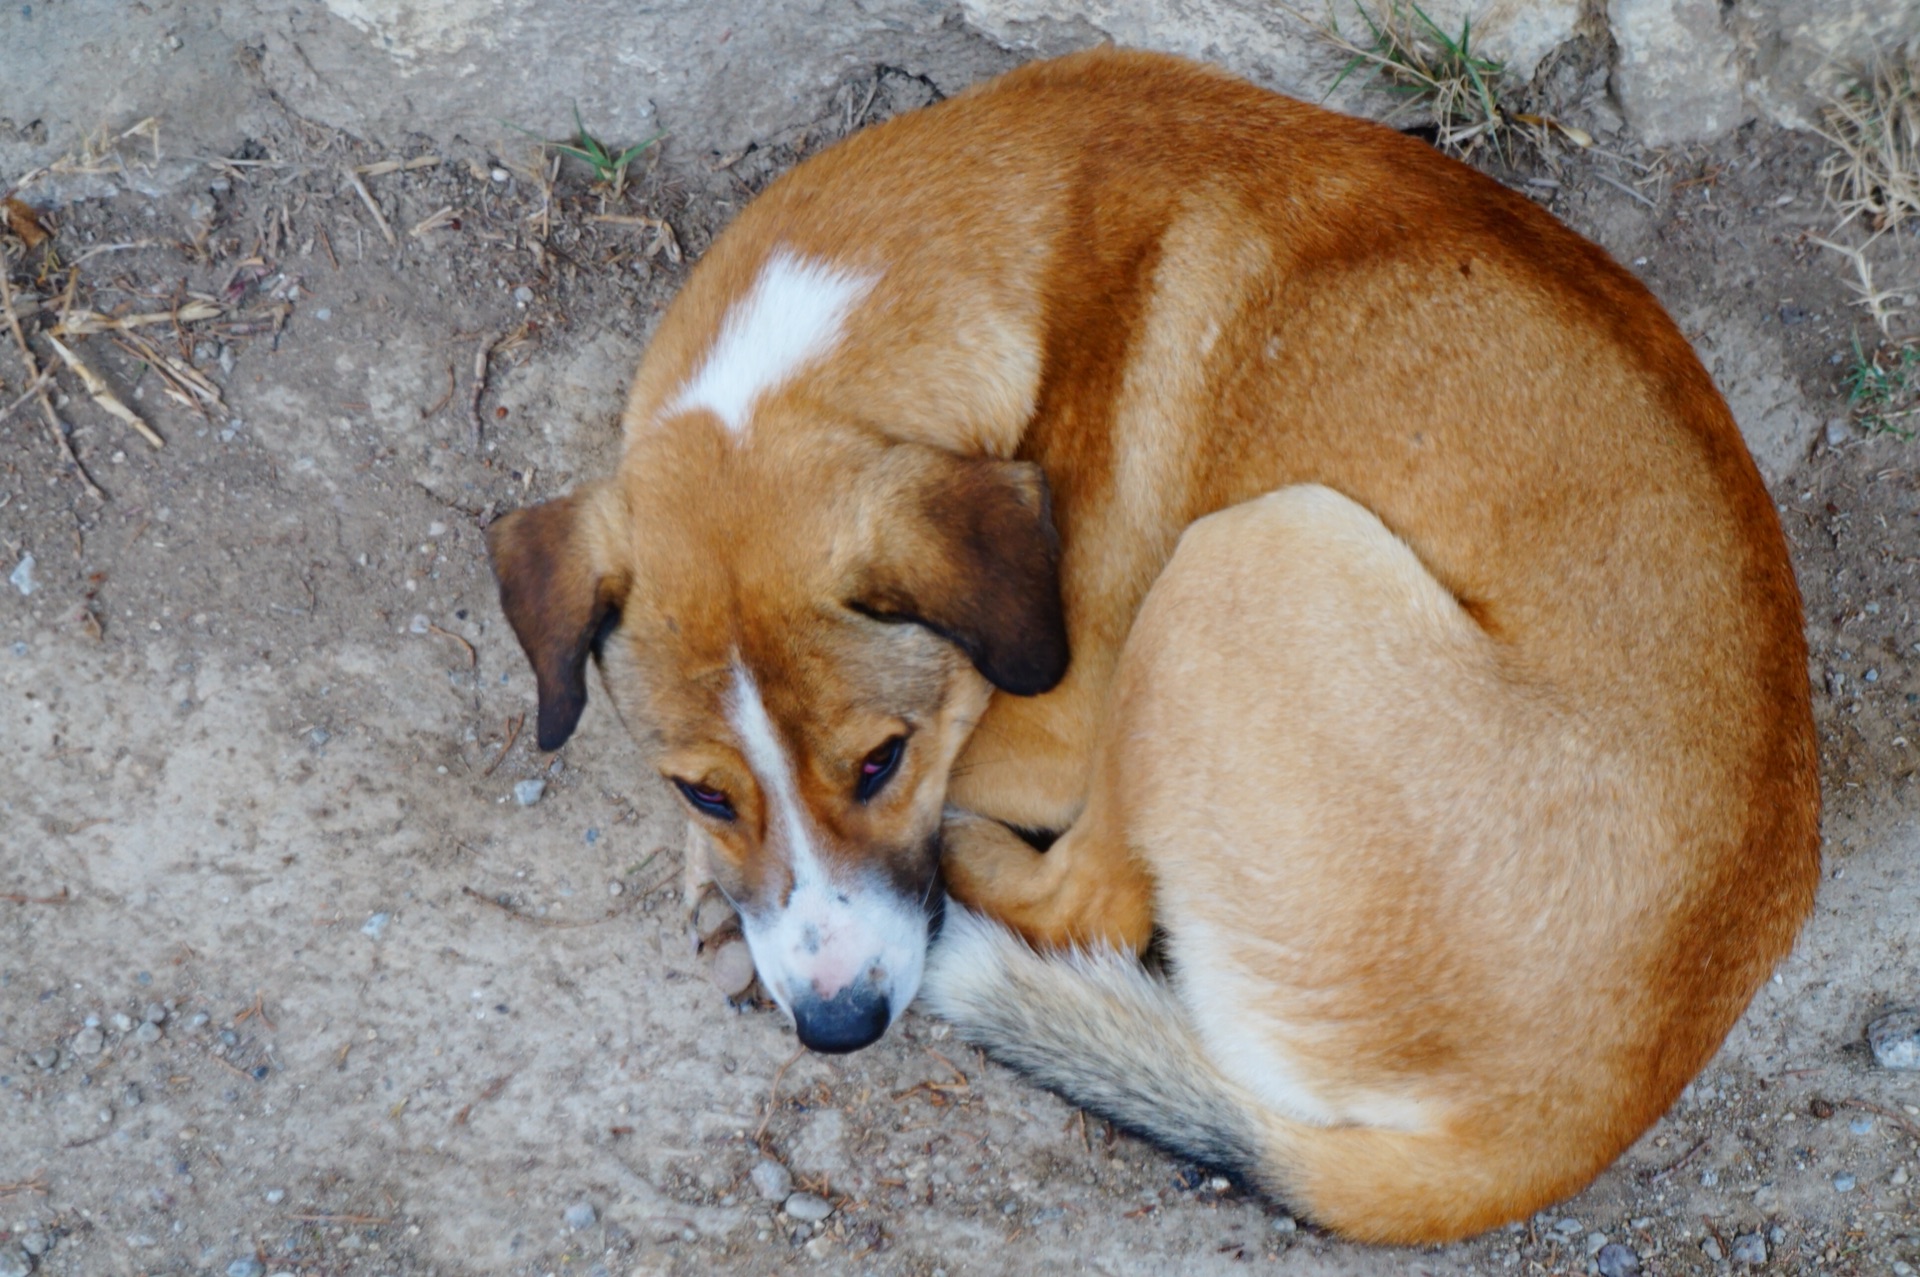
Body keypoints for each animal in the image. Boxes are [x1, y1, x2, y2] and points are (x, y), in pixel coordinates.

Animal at [487, 52, 1820, 1244]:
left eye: (880, 762)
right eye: (704, 788)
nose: (840, 1028)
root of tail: (1566, 1117)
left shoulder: (1056, 718)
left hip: (1239, 563)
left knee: (1093, 900)